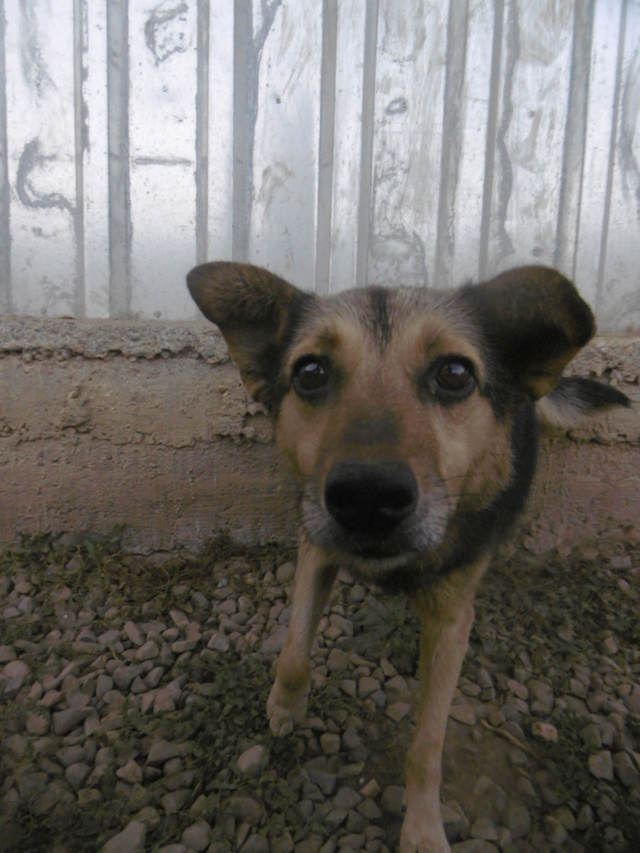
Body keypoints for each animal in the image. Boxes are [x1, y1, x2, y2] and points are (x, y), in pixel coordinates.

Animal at [186, 262, 632, 852]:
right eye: (310, 372)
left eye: (455, 373)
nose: (367, 497)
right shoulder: (316, 549)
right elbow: (294, 650)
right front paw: (285, 704)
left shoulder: (452, 620)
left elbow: (427, 746)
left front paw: (421, 829)